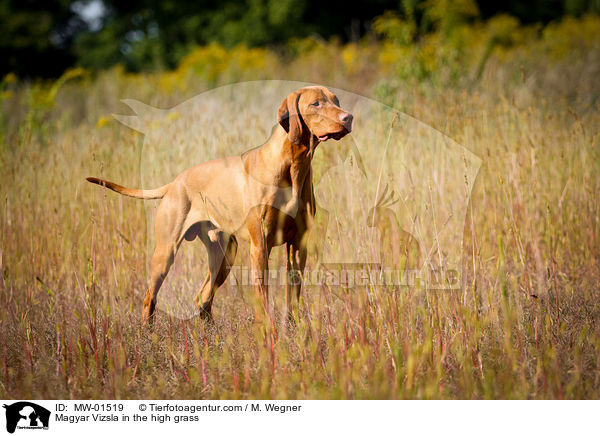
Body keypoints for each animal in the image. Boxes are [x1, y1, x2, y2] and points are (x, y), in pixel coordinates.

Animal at [86, 86, 354, 324]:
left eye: (336, 100)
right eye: (316, 103)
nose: (348, 117)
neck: (293, 166)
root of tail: (175, 182)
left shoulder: (298, 245)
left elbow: (293, 297)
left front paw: (294, 333)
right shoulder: (260, 246)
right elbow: (264, 299)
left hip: (224, 256)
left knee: (202, 298)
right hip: (166, 253)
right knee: (150, 297)